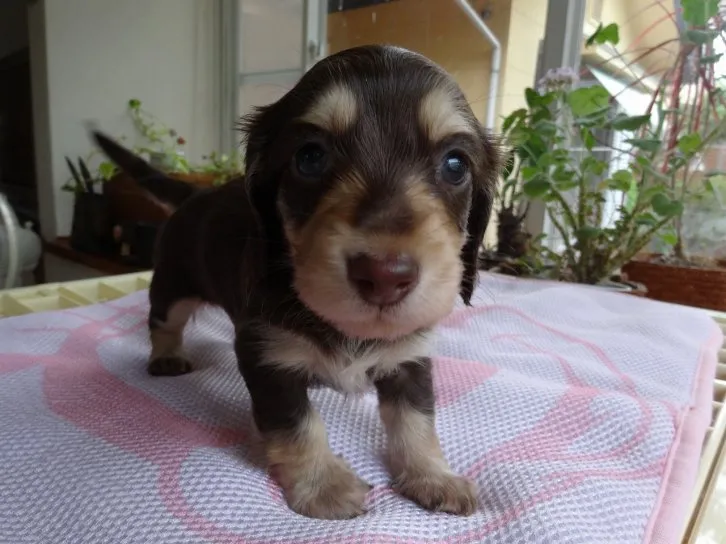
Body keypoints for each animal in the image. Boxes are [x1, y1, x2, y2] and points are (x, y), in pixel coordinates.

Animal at [94, 44, 504, 520]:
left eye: (455, 164)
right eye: (310, 157)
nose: (385, 275)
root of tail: (196, 192)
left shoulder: (410, 359)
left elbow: (416, 421)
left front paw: (432, 475)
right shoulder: (268, 359)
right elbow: (298, 425)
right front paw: (323, 485)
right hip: (173, 286)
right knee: (163, 322)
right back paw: (166, 356)